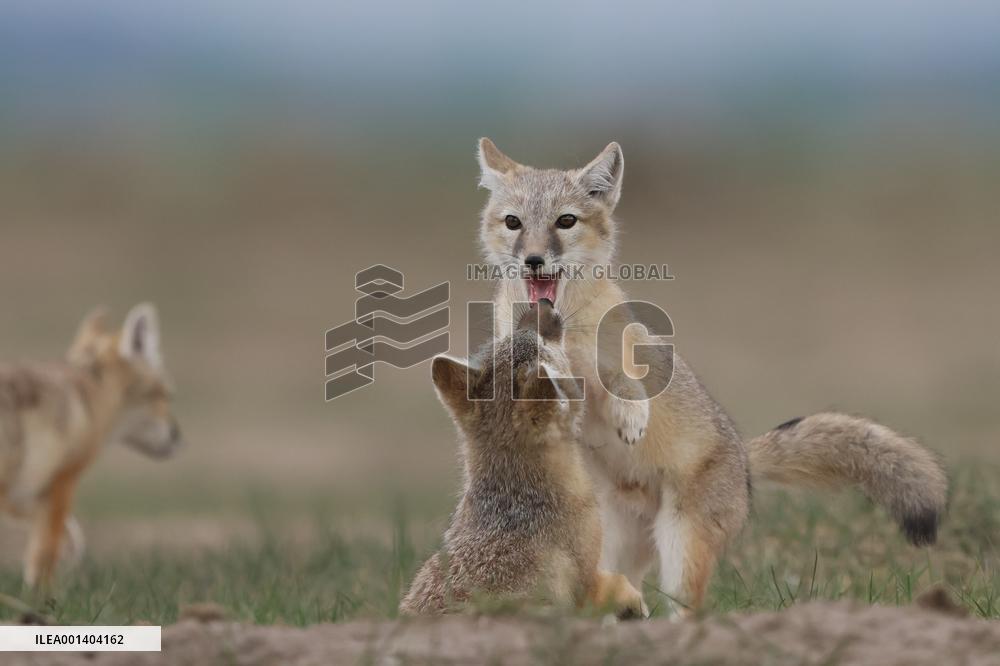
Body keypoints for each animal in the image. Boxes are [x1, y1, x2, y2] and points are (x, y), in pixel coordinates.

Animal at [0, 303, 183, 588]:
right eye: (166, 394)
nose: (178, 436)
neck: (88, 392)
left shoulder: (26, 487)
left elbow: (53, 530)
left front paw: (72, 545)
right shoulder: (63, 480)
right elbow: (44, 556)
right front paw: (44, 594)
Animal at [400, 300, 646, 619]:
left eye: (511, 337)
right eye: (542, 342)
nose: (541, 304)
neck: (515, 493)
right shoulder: (586, 579)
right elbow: (616, 585)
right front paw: (633, 603)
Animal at [475, 137, 949, 616]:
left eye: (566, 221)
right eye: (514, 222)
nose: (534, 260)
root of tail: (743, 460)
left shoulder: (630, 350)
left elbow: (626, 378)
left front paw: (631, 415)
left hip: (681, 549)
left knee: (687, 611)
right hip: (609, 546)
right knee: (621, 594)